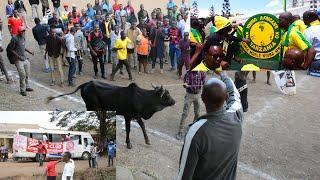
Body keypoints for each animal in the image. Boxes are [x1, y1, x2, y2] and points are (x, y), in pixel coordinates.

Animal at [47, 81, 175, 149]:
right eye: (167, 95)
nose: (174, 101)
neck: (141, 98)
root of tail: (86, 83)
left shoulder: (137, 115)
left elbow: (143, 126)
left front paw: (147, 141)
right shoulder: (128, 115)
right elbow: (128, 129)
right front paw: (129, 144)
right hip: (91, 105)